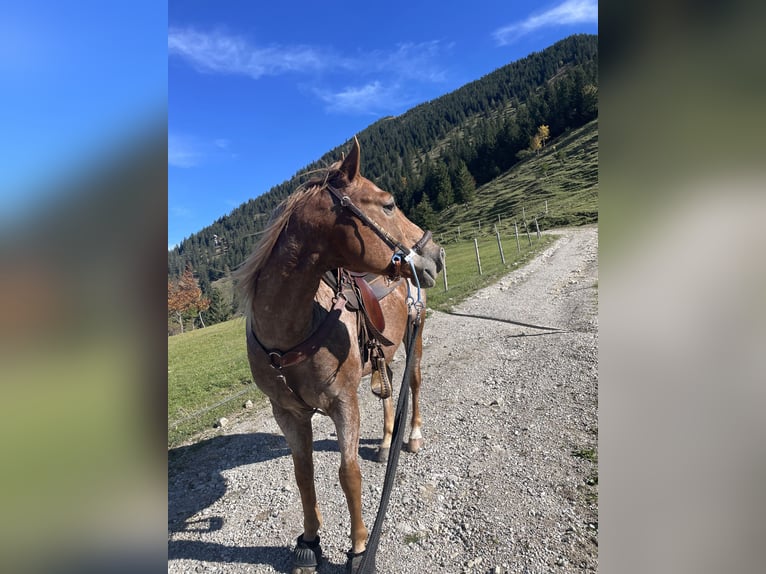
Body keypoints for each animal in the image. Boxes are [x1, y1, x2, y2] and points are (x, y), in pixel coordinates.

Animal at [237, 137, 448, 572]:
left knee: (415, 383)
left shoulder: (343, 403)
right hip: (383, 354)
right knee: (389, 394)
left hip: (415, 336)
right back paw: (385, 443)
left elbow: (348, 475)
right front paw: (310, 542)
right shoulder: (288, 414)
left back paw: (412, 436)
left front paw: (360, 548)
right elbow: (303, 475)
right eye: (388, 204)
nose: (436, 255)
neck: (292, 330)